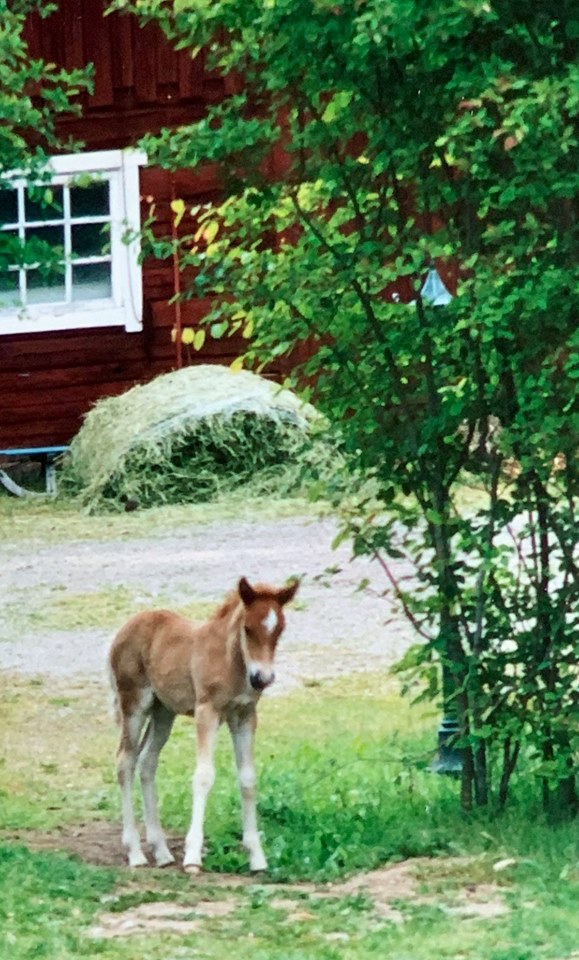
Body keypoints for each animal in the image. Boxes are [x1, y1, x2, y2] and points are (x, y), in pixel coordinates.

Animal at [108, 572, 300, 872]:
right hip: (134, 705)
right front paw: (193, 857)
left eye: (279, 630)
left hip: (163, 711)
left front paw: (257, 857)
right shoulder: (206, 711)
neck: (230, 661)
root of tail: (125, 628)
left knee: (147, 762)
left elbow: (248, 778)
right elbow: (204, 776)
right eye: (247, 628)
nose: (262, 678)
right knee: (125, 761)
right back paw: (136, 853)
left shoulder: (245, 715)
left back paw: (161, 852)